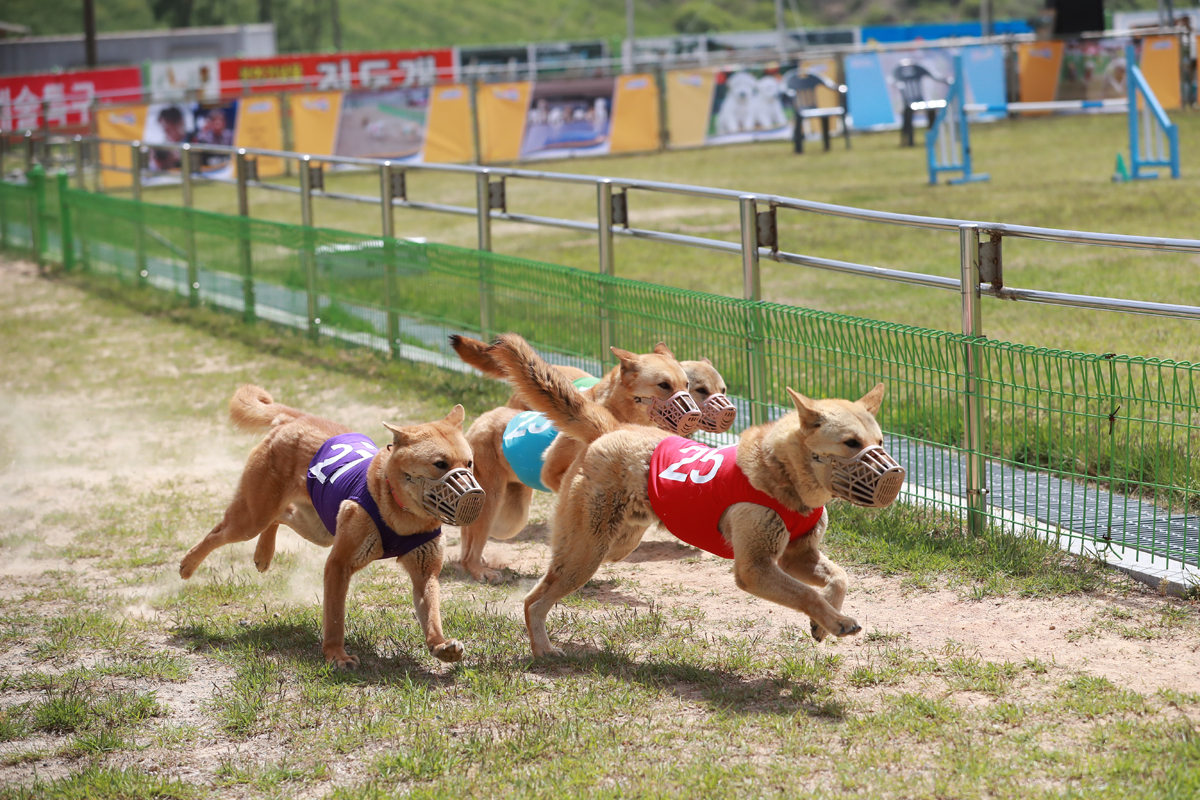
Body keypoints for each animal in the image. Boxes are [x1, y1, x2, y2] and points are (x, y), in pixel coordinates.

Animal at [180, 388, 480, 671]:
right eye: (440, 464)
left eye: (469, 463)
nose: (475, 495)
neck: (400, 514)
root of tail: (295, 418)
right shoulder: (339, 564)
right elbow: (335, 618)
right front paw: (337, 656)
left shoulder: (424, 572)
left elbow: (431, 614)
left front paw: (441, 646)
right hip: (252, 519)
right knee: (219, 533)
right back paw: (187, 565)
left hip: (317, 528)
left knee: (281, 516)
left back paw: (263, 554)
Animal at [482, 331, 902, 657]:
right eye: (851, 443)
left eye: (880, 441)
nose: (895, 475)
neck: (781, 472)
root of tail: (614, 427)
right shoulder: (755, 568)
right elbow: (808, 595)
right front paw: (837, 621)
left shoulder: (797, 556)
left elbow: (839, 578)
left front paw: (823, 623)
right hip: (586, 552)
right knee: (534, 600)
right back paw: (543, 651)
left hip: (616, 543)